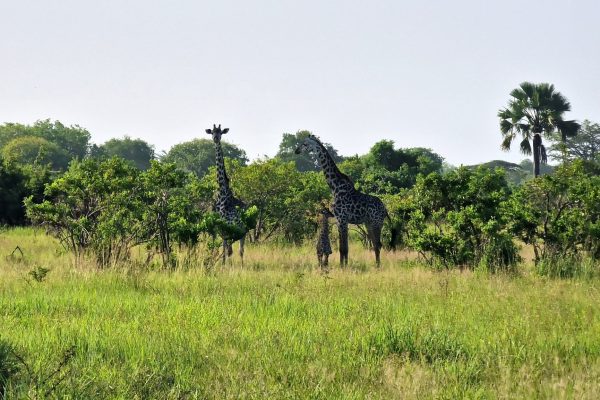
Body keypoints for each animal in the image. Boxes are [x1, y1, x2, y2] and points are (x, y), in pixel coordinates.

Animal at [204, 123, 246, 264]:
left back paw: (242, 265)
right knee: (231, 248)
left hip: (242, 230)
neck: (222, 193)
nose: (216, 138)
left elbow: (229, 250)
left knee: (241, 250)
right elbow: (222, 249)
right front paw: (222, 265)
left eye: (221, 132)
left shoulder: (229, 226)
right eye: (212, 132)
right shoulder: (220, 227)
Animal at [296, 134, 398, 266]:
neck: (335, 186)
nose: (296, 150)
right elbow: (344, 247)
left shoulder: (342, 219)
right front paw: (344, 265)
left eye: (305, 144)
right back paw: (376, 265)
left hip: (376, 222)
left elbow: (343, 248)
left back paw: (378, 266)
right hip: (369, 223)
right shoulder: (340, 220)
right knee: (376, 244)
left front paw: (342, 266)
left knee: (378, 244)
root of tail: (385, 209)